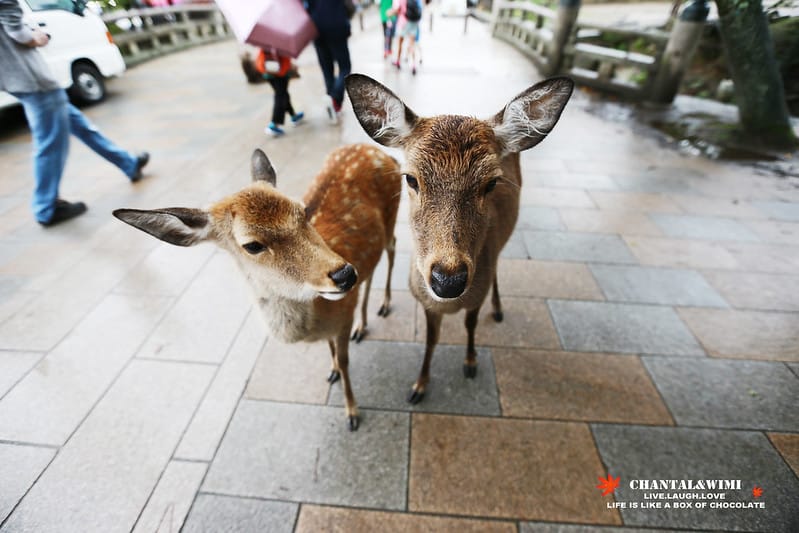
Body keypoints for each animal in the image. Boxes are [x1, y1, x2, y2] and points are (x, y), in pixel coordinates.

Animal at [113, 144, 402, 430]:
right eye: (252, 245)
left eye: (303, 211)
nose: (345, 274)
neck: (317, 322)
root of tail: (379, 151)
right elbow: (333, 353)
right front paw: (332, 372)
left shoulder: (343, 315)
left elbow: (345, 361)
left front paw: (352, 413)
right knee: (372, 270)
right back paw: (362, 323)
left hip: (393, 214)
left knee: (392, 248)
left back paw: (383, 306)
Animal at [345, 74, 573, 404]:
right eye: (410, 178)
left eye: (491, 182)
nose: (448, 280)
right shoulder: (426, 303)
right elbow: (431, 339)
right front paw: (419, 386)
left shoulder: (476, 295)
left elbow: (470, 324)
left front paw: (470, 363)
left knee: (498, 267)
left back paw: (498, 308)